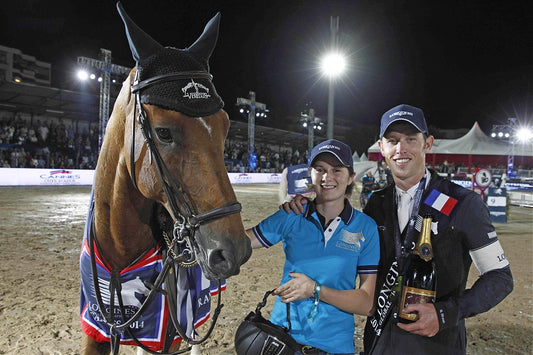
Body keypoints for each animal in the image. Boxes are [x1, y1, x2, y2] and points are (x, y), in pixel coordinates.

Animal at [80, 2, 252, 354]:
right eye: (163, 132)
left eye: (226, 126)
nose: (233, 249)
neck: (119, 252)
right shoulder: (95, 331)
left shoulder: (167, 339)